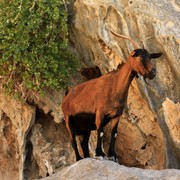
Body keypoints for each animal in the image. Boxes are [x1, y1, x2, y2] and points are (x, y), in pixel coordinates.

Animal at [61, 30, 162, 161]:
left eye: (150, 57)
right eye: (139, 57)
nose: (153, 73)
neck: (115, 86)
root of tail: (66, 98)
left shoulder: (116, 115)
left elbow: (114, 133)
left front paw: (113, 155)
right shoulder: (99, 113)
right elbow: (101, 132)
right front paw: (100, 153)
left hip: (85, 127)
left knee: (83, 143)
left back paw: (86, 157)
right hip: (69, 121)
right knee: (73, 140)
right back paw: (79, 159)